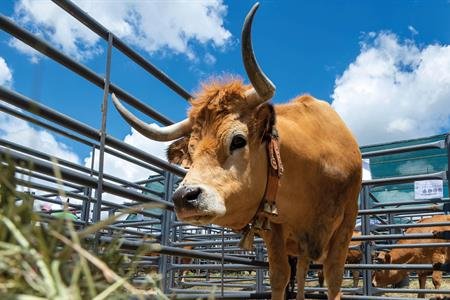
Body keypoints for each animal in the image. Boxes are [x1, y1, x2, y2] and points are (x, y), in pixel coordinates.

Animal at [112, 3, 362, 298]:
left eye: (238, 140)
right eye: (191, 154)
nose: (185, 197)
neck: (316, 165)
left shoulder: (346, 222)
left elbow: (333, 276)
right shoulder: (275, 226)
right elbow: (280, 276)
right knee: (298, 272)